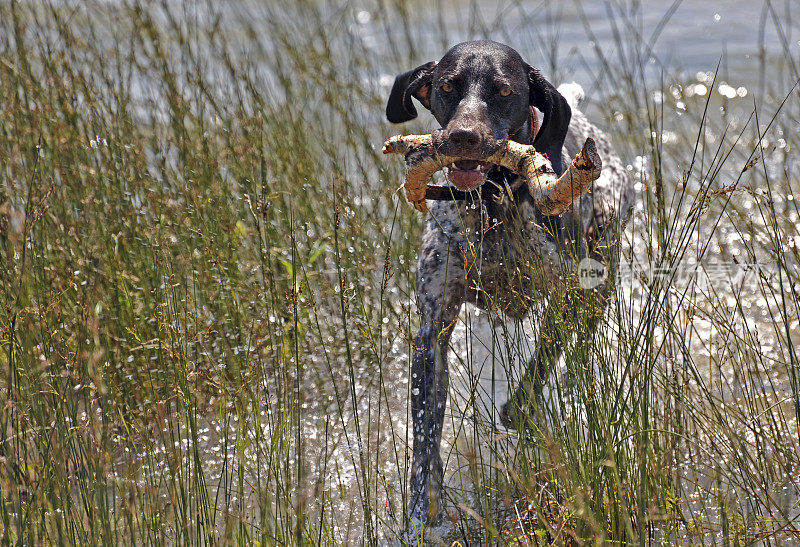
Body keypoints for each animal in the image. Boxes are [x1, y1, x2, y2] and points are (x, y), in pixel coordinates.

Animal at [384, 40, 636, 536]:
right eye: (447, 87)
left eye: (502, 91)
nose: (463, 136)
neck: (492, 205)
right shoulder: (431, 332)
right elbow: (425, 433)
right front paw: (423, 509)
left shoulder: (567, 296)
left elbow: (541, 363)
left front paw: (518, 409)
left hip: (599, 280)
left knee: (579, 344)